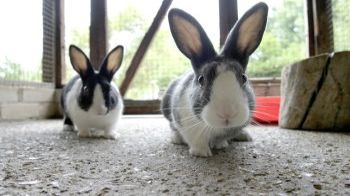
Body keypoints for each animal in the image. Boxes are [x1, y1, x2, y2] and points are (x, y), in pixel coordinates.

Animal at [161, 2, 268, 157]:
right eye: (201, 79)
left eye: (244, 78)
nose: (227, 113)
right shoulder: (185, 122)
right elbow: (195, 140)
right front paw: (201, 153)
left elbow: (221, 140)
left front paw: (220, 145)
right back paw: (176, 139)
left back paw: (244, 136)